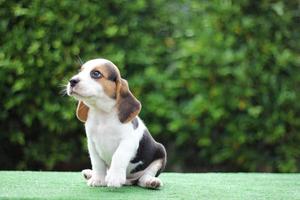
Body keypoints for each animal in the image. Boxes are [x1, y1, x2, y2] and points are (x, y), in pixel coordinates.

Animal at [66, 58, 168, 189]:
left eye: (96, 73)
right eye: (80, 71)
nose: (72, 81)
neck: (102, 114)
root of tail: (129, 180)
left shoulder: (128, 141)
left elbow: (118, 156)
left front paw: (114, 178)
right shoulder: (92, 143)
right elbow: (97, 163)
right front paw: (98, 179)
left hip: (160, 153)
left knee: (144, 177)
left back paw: (150, 181)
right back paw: (90, 173)